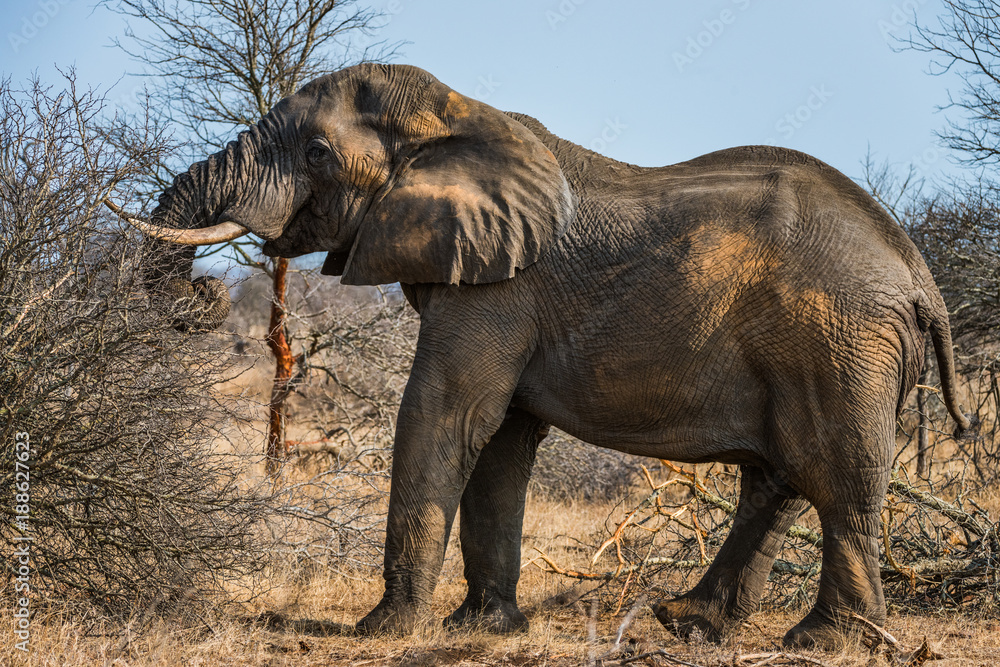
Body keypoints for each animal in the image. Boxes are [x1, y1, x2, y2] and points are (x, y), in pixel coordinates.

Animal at [110, 63, 975, 648]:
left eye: (317, 152)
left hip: (840, 343)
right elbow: (499, 437)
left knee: (837, 477)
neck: (459, 113)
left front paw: (382, 632)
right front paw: (481, 629)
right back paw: (689, 621)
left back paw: (824, 642)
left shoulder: (500, 288)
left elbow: (444, 412)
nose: (207, 293)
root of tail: (919, 275)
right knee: (782, 476)